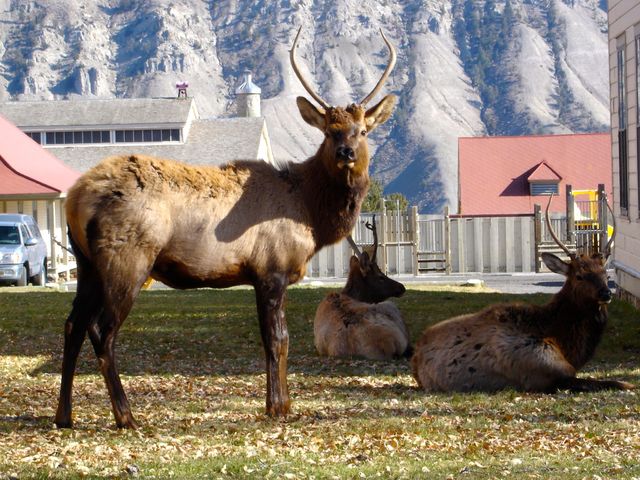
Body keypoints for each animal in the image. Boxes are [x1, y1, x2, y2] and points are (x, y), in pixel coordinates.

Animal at [56, 28, 396, 430]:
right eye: (331, 131)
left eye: (363, 130)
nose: (347, 152)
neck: (311, 213)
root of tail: (74, 198)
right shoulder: (271, 271)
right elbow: (277, 339)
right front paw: (279, 406)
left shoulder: (263, 276)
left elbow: (276, 339)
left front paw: (279, 403)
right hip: (127, 261)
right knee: (102, 330)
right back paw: (126, 415)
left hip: (86, 264)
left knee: (73, 324)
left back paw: (64, 415)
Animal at [412, 195, 632, 394]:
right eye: (579, 275)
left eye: (605, 274)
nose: (605, 293)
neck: (564, 341)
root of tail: (415, 357)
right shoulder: (545, 373)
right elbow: (612, 382)